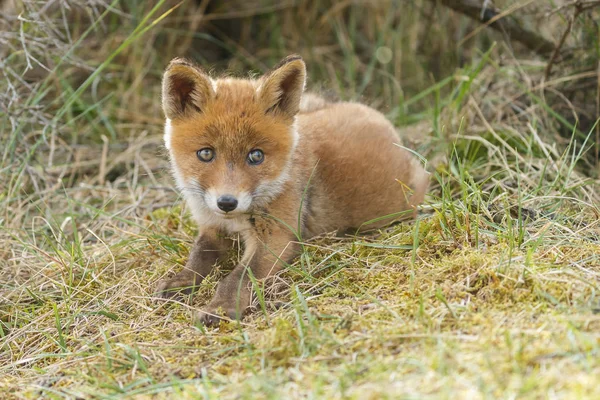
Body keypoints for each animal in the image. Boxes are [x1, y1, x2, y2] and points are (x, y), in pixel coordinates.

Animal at [155, 55, 426, 324]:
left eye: (256, 156)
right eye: (205, 154)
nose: (227, 203)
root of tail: (389, 129)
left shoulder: (277, 235)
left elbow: (237, 278)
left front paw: (220, 308)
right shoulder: (211, 226)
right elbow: (197, 257)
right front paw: (181, 282)